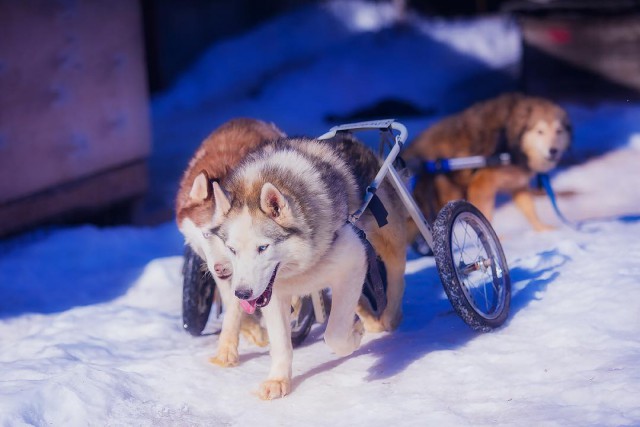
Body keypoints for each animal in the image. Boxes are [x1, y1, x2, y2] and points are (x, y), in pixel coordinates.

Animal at [402, 92, 572, 237]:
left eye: (558, 131)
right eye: (540, 131)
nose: (553, 151)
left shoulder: (517, 185)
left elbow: (530, 209)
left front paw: (541, 229)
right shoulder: (482, 184)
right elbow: (485, 215)